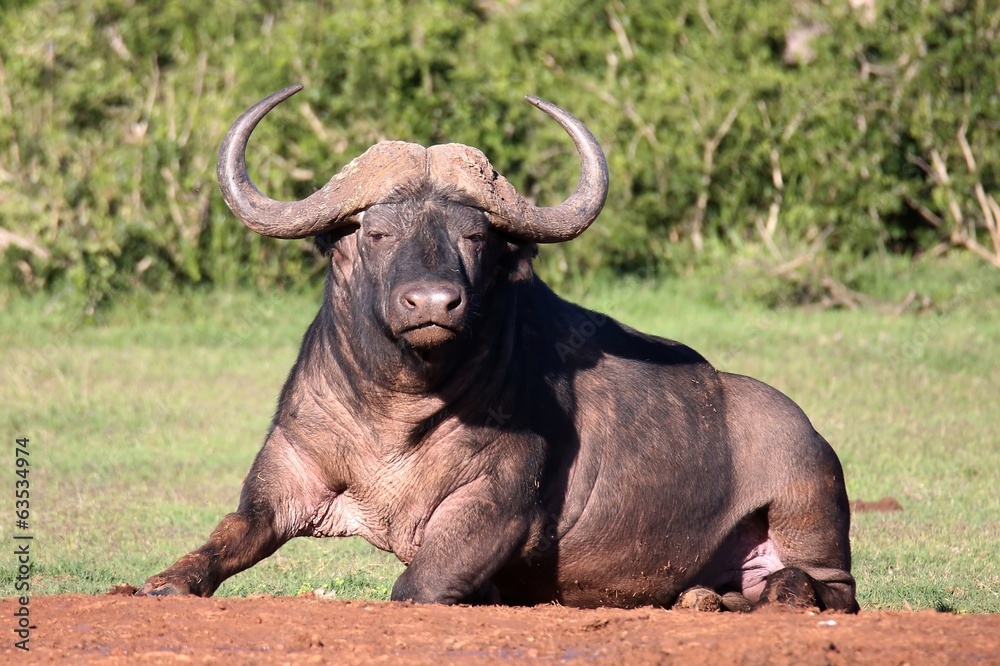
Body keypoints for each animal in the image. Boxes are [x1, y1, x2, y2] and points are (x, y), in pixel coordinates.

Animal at [138, 85, 859, 613]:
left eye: (474, 236)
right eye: (376, 233)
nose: (433, 303)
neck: (396, 412)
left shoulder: (501, 503)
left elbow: (417, 586)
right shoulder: (284, 481)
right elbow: (225, 538)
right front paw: (162, 582)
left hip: (807, 500)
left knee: (830, 588)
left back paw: (779, 594)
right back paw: (703, 598)